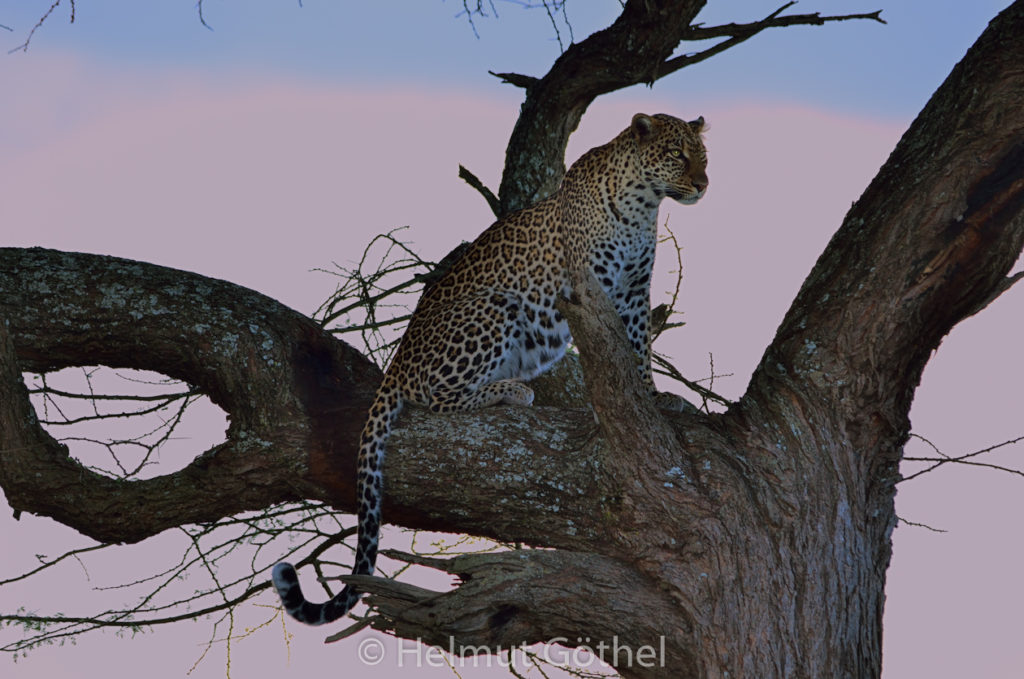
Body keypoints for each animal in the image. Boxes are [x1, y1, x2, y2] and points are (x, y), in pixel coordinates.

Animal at [272, 112, 709, 625]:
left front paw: (653, 398)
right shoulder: (590, 288)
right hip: (494, 306)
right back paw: (512, 391)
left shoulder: (635, 293)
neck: (644, 205)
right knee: (437, 397)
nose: (704, 183)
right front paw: (607, 404)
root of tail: (396, 362)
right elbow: (609, 357)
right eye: (677, 155)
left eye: (704, 156)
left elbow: (639, 350)